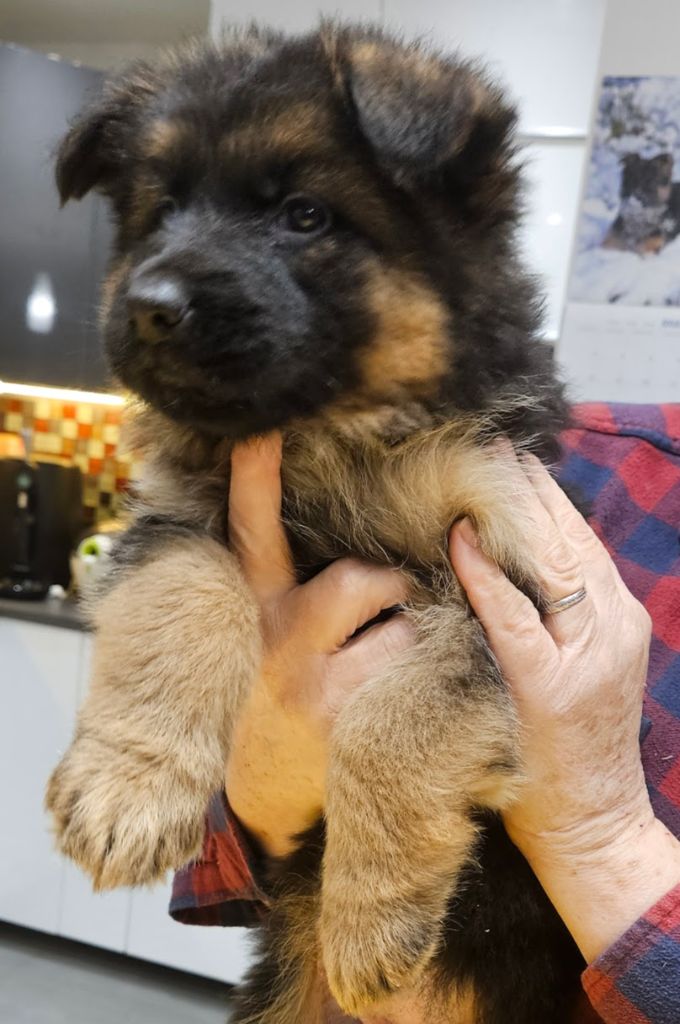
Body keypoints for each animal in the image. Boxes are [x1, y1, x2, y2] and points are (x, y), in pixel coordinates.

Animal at [45, 24, 581, 1024]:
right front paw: (128, 787)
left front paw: (372, 913)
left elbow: (398, 714)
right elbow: (186, 598)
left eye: (304, 215)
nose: (150, 306)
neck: (327, 440)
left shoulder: (495, 569)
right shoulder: (177, 517)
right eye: (162, 210)